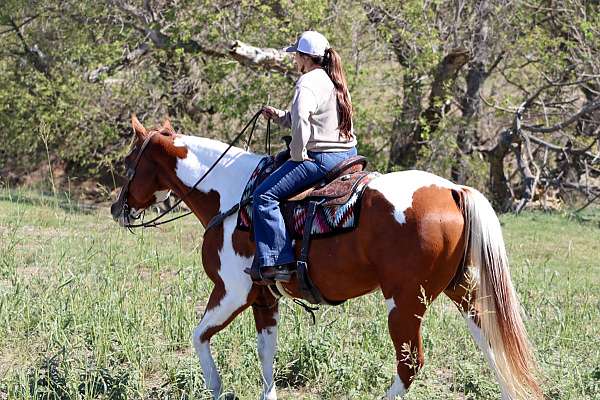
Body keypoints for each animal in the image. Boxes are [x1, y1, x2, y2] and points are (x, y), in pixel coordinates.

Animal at [110, 115, 540, 400]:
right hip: (463, 291)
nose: (117, 208)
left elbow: (198, 336)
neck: (232, 196)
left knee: (409, 364)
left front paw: (216, 389)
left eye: (129, 163)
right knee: (493, 345)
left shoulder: (231, 292)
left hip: (405, 303)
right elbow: (266, 352)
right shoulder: (263, 297)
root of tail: (453, 190)